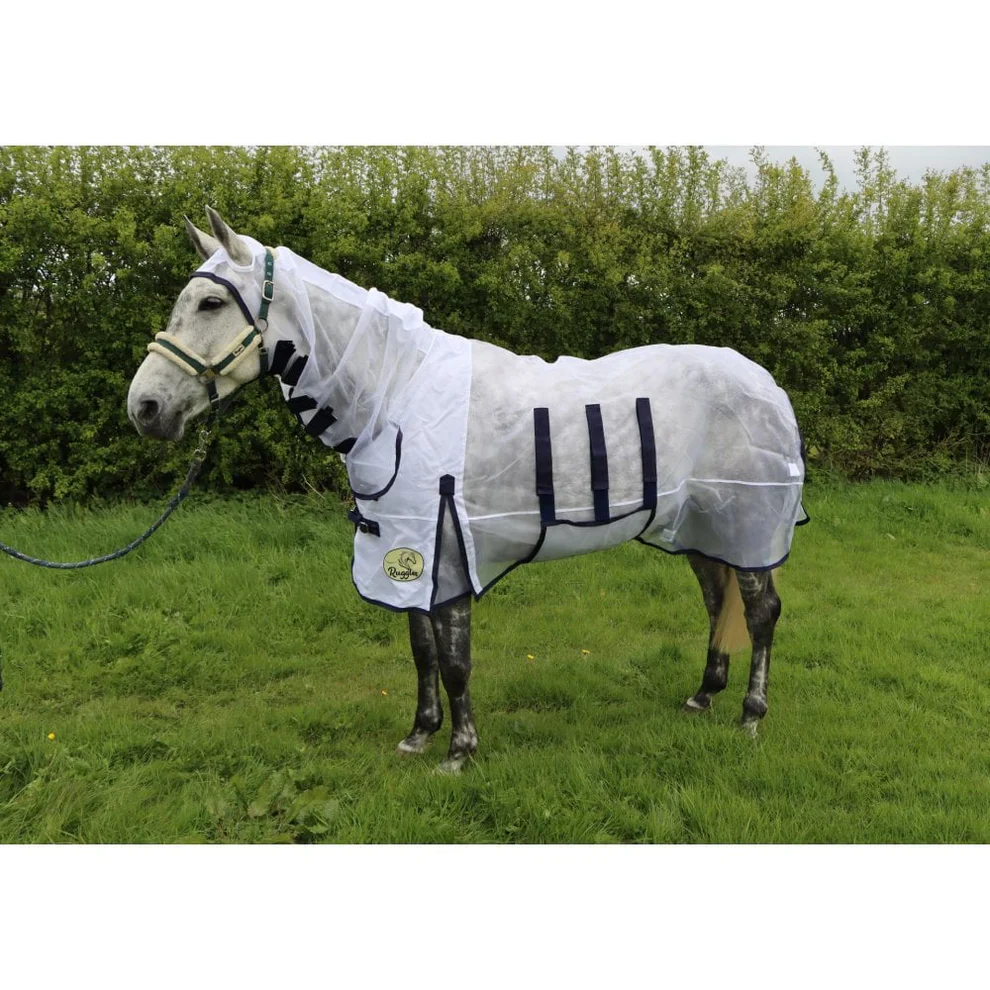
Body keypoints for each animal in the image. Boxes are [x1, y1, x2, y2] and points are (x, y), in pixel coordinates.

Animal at [128, 208, 807, 773]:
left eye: (210, 303)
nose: (145, 408)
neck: (397, 393)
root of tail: (765, 381)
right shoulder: (407, 550)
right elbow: (422, 651)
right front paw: (419, 735)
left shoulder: (446, 547)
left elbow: (454, 658)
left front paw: (459, 751)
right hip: (702, 526)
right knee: (718, 603)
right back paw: (703, 696)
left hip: (747, 523)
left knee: (760, 613)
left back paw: (750, 715)